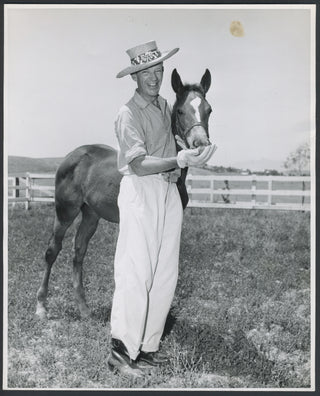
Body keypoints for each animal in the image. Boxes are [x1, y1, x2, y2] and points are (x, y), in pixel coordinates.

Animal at [35, 68, 212, 318]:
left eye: (209, 109)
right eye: (180, 110)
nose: (200, 144)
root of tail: (73, 155)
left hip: (91, 215)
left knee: (78, 251)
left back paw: (83, 308)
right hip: (65, 211)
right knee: (52, 250)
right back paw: (41, 306)